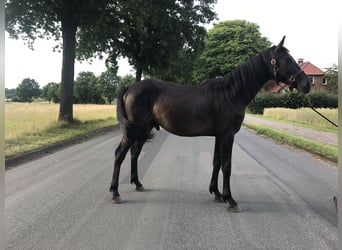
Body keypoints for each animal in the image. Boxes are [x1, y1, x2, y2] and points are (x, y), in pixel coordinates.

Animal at [109, 37, 310, 211]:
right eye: (287, 59)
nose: (306, 84)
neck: (230, 93)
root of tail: (130, 88)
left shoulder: (219, 136)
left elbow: (216, 162)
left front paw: (217, 193)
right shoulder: (227, 136)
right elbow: (227, 165)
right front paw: (230, 200)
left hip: (143, 130)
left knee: (134, 154)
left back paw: (137, 184)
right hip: (133, 132)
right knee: (119, 154)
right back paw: (115, 193)